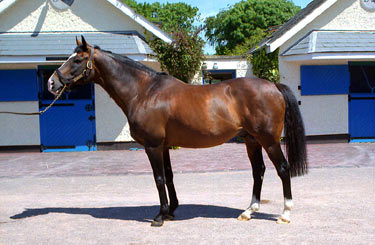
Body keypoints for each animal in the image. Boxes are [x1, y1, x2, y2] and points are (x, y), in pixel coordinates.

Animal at [47, 36, 308, 228]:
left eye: (77, 60)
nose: (51, 83)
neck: (144, 91)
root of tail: (273, 85)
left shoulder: (152, 145)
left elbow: (159, 178)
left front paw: (160, 216)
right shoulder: (163, 145)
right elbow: (170, 176)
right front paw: (171, 211)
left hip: (269, 141)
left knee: (282, 169)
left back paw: (285, 213)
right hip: (251, 140)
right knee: (258, 171)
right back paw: (248, 211)